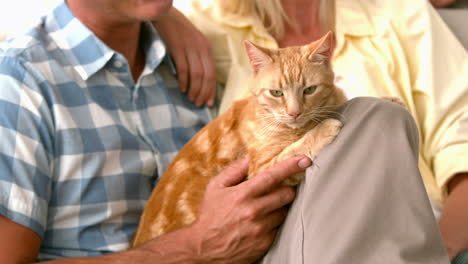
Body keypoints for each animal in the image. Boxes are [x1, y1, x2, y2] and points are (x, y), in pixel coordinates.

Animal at [130, 32, 346, 246]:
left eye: (309, 90)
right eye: (276, 93)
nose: (294, 113)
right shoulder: (261, 172)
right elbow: (293, 152)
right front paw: (322, 130)